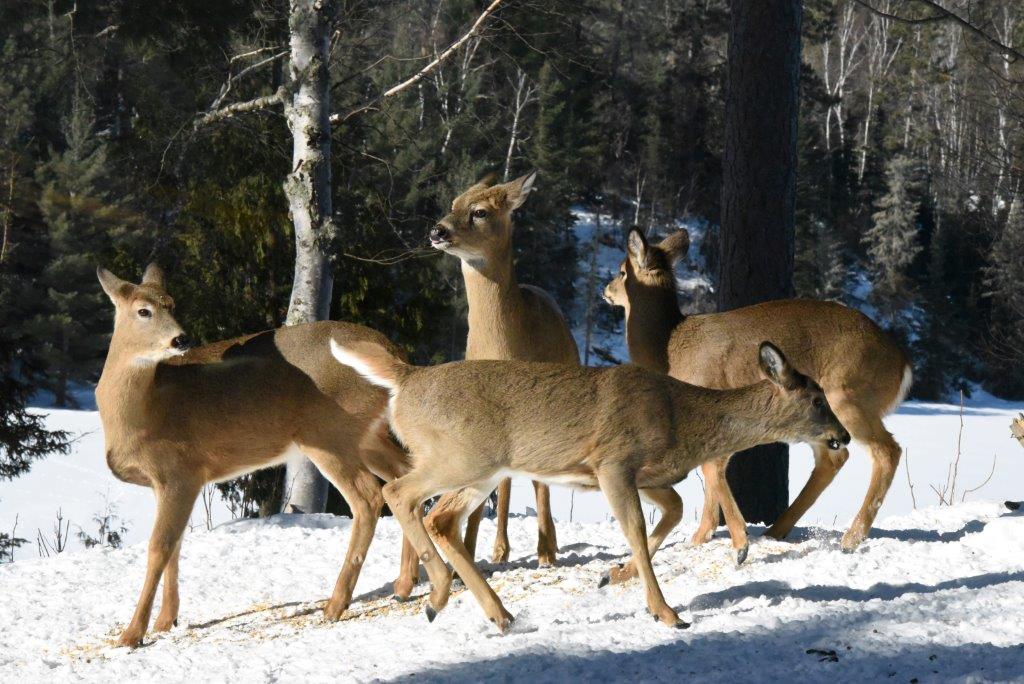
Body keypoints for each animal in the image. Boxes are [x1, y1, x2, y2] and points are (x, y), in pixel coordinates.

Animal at [94, 264, 419, 648]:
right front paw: (165, 621)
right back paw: (405, 583)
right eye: (143, 310)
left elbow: (160, 547)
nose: (180, 339)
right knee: (403, 478)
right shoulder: (168, 482)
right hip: (367, 435)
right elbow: (175, 545)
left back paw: (335, 604)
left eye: (171, 304)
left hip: (330, 433)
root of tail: (396, 354)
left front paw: (132, 634)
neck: (145, 410)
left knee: (369, 498)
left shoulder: (180, 470)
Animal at [330, 336, 850, 632]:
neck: (682, 420)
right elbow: (636, 529)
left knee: (440, 518)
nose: (843, 436)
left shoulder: (646, 474)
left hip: (483, 470)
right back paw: (439, 594)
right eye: (817, 400)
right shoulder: (613, 461)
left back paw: (497, 615)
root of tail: (405, 381)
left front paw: (612, 575)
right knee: (398, 494)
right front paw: (667, 613)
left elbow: (673, 512)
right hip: (458, 456)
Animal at [427, 171, 579, 566]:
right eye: (453, 203)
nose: (438, 230)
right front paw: (472, 550)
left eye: (480, 211)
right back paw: (502, 548)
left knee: (537, 477)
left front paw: (544, 551)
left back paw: (547, 546)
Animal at [603, 227, 912, 557]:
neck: (671, 346)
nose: (606, 290)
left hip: (848, 396)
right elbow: (712, 466)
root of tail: (902, 364)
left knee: (886, 451)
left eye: (622, 271)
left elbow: (712, 468)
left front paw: (730, 540)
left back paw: (851, 537)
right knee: (833, 458)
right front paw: (704, 535)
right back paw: (777, 531)